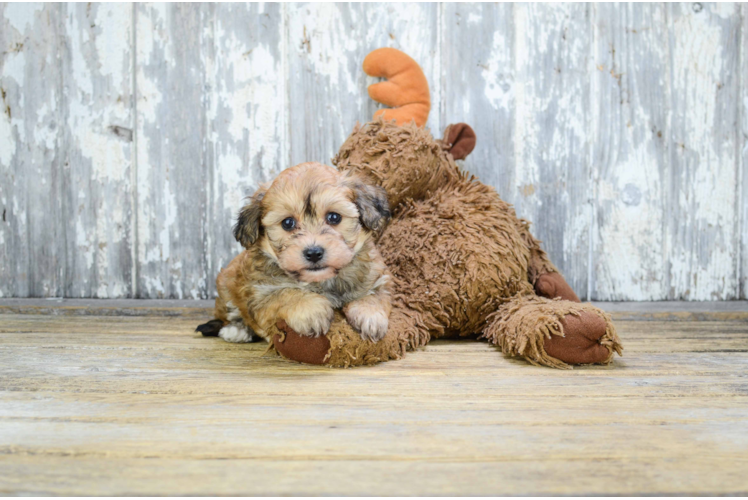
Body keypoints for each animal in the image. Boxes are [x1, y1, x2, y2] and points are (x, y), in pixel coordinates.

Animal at [199, 162, 394, 346]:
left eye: (334, 217)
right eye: (288, 223)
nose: (314, 253)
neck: (321, 281)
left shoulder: (377, 277)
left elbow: (374, 295)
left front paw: (370, 316)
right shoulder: (261, 293)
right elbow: (286, 293)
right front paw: (312, 310)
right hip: (226, 284)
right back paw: (237, 329)